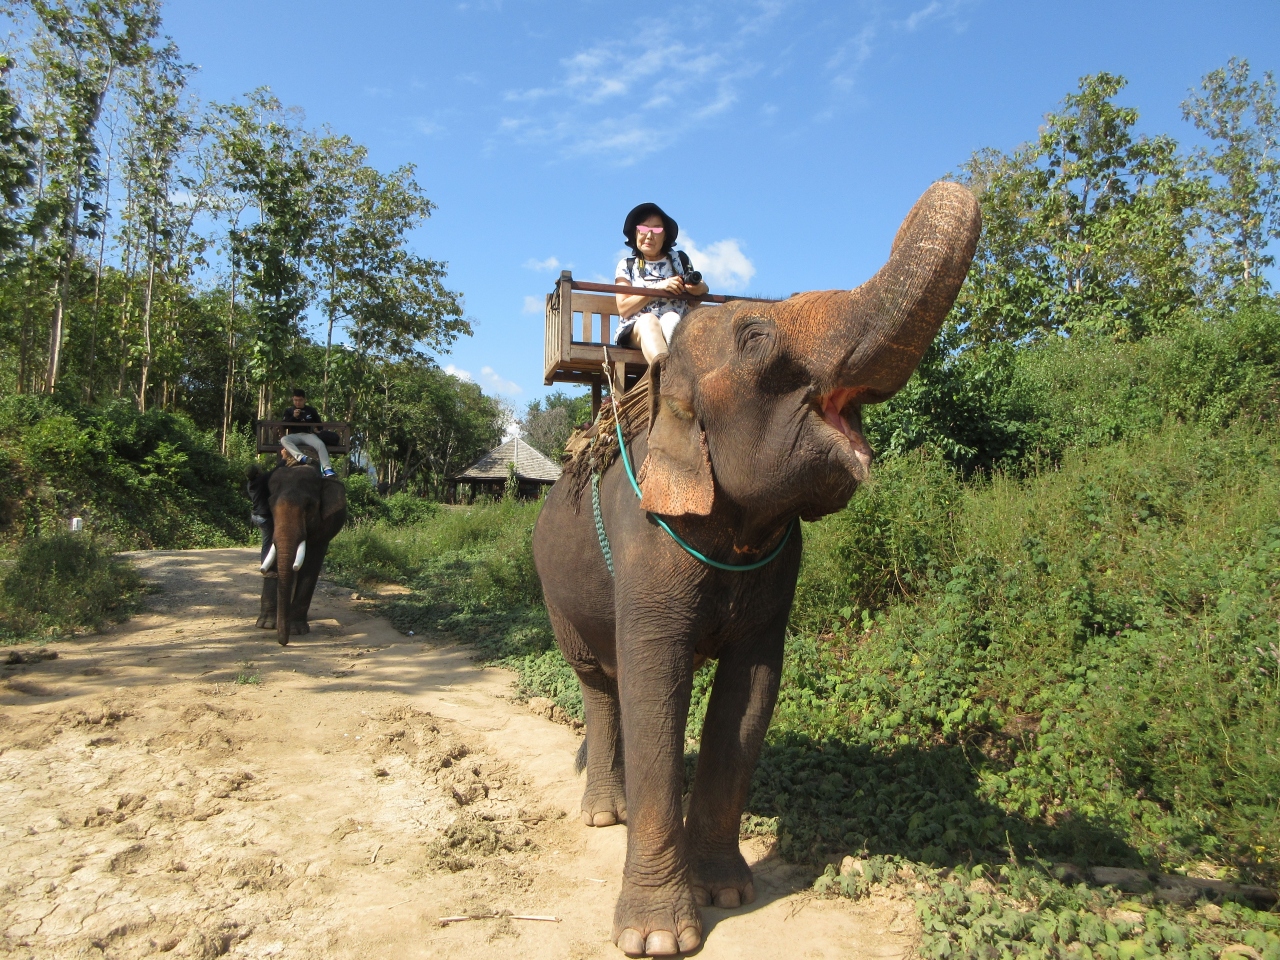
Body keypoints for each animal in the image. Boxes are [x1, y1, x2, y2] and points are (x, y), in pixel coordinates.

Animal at [247, 463, 348, 647]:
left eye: (309, 506)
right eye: (270, 505)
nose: (283, 643)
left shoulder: (325, 526)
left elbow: (311, 564)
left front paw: (296, 630)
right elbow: (271, 553)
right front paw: (267, 625)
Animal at [529, 180, 977, 957]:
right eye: (757, 339)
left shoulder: (779, 565)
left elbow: (749, 696)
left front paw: (730, 895)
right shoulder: (649, 538)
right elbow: (656, 684)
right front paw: (658, 938)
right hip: (556, 593)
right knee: (598, 682)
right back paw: (604, 816)